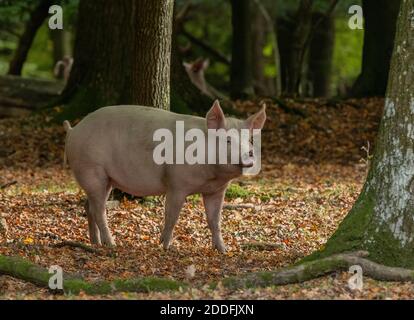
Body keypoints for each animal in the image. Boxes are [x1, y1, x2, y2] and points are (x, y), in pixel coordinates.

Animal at [63, 100, 266, 252]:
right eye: (228, 140)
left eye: (249, 139)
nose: (249, 154)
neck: (212, 176)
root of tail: (73, 130)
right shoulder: (176, 184)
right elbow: (171, 216)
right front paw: (166, 246)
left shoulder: (216, 190)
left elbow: (215, 220)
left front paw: (223, 250)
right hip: (91, 169)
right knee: (98, 210)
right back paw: (111, 244)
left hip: (106, 179)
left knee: (88, 206)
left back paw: (95, 242)